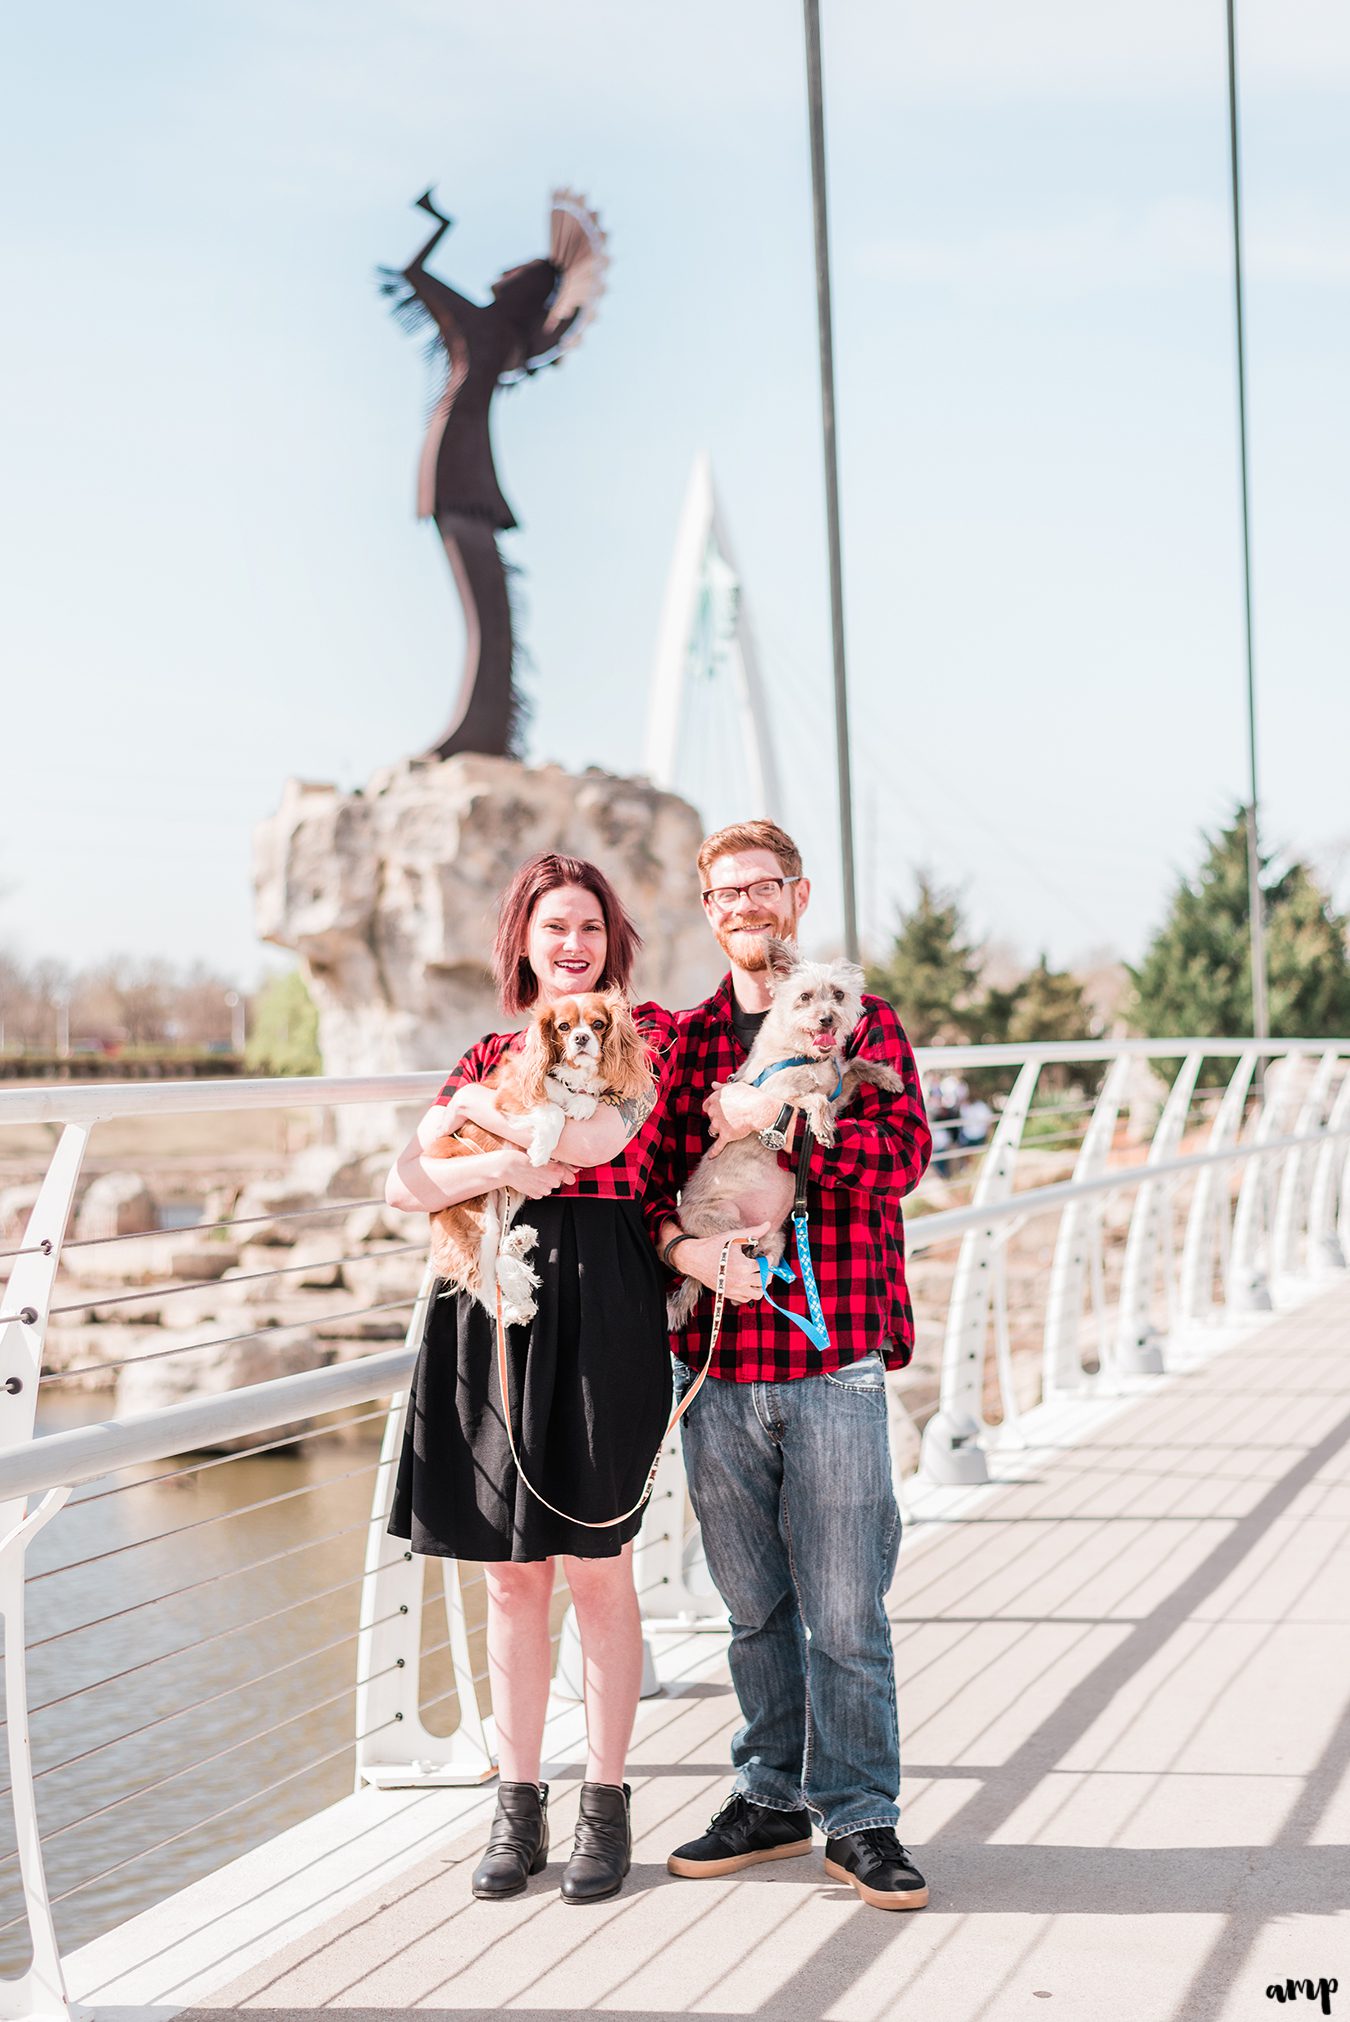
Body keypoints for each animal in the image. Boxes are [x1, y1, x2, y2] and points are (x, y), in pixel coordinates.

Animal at [424, 990, 650, 1326]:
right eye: (564, 1027)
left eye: (598, 1024)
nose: (582, 1038)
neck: (572, 1076)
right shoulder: (510, 1096)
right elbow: (552, 1109)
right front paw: (542, 1149)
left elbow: (584, 1098)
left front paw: (583, 1104)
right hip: (478, 1217)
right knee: (481, 1278)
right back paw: (514, 1309)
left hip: (503, 1206)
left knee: (497, 1259)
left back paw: (519, 1245)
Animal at [666, 938, 901, 1334]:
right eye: (804, 997)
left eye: (839, 994)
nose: (827, 1018)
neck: (803, 1055)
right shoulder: (776, 1094)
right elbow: (812, 1098)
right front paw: (822, 1127)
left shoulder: (839, 1091)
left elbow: (852, 1067)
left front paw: (886, 1076)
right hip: (727, 1217)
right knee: (736, 1245)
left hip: (777, 1234)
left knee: (770, 1259)